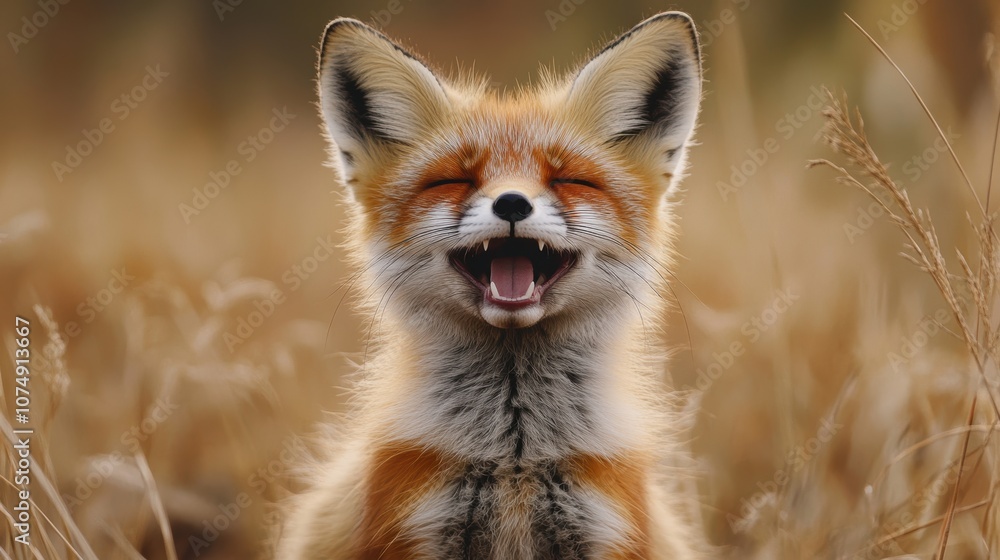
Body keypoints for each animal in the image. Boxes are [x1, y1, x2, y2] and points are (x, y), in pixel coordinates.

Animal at [278, 11, 706, 560]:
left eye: (570, 180)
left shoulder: (609, 527)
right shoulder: (408, 524)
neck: (514, 451)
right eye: (452, 181)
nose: (512, 203)